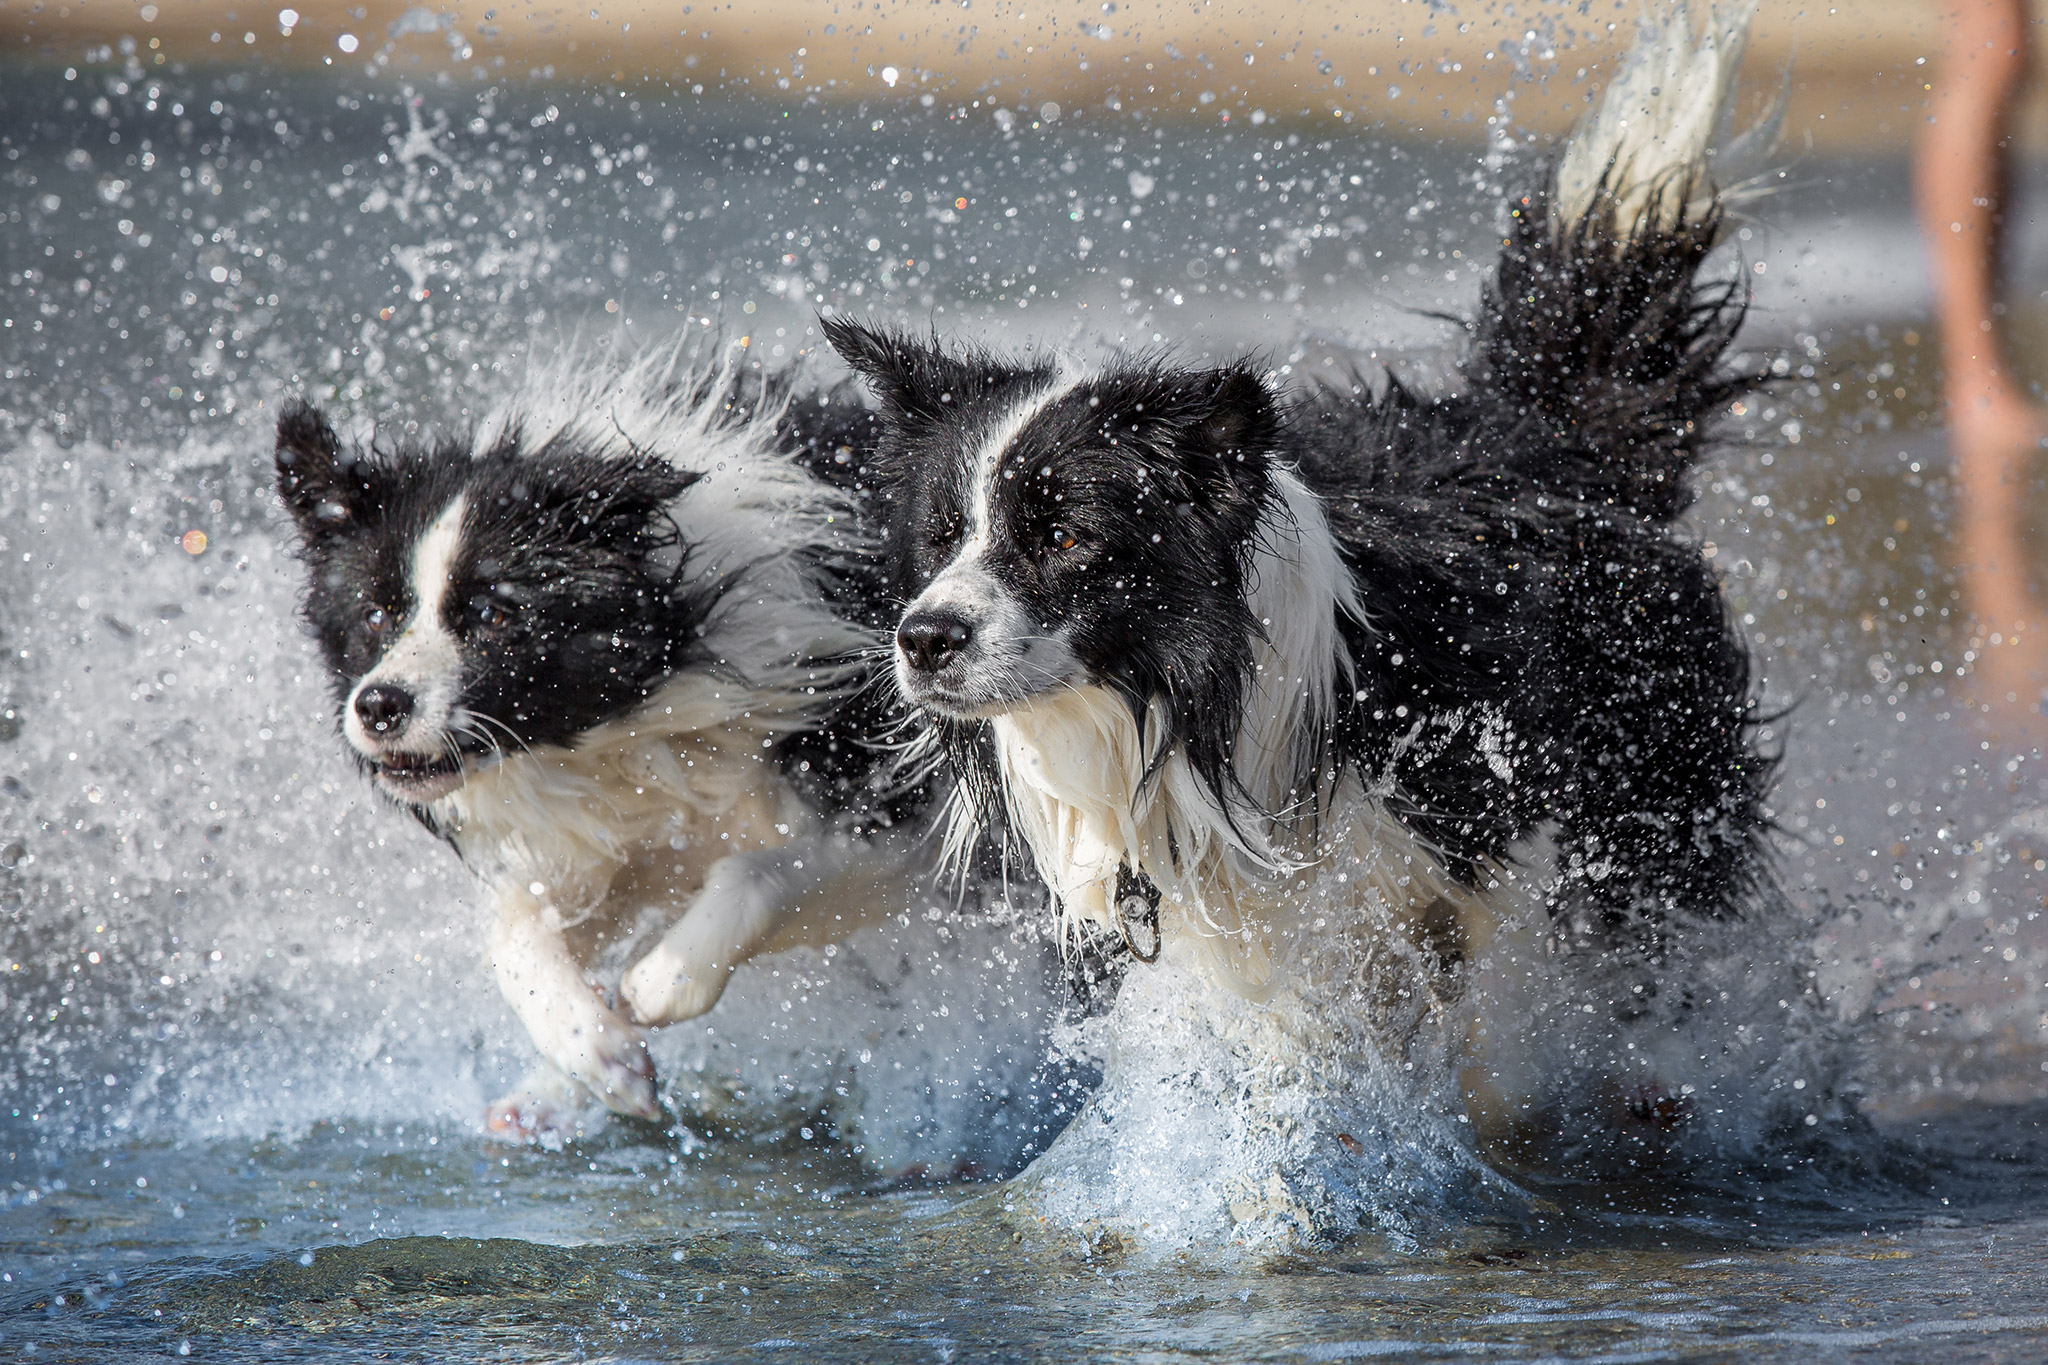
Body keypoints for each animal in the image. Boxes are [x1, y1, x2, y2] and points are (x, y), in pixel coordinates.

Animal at [272, 351, 913, 1146]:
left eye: (493, 613)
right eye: (375, 614)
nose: (379, 706)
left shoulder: (903, 803)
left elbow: (760, 873)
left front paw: (660, 979)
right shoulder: (599, 838)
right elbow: (514, 931)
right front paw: (598, 1050)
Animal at [827, 7, 1777, 1088]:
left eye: (1063, 536)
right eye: (943, 537)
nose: (923, 639)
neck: (1194, 714)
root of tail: (1543, 430)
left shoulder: (1474, 869)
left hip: (1654, 804)